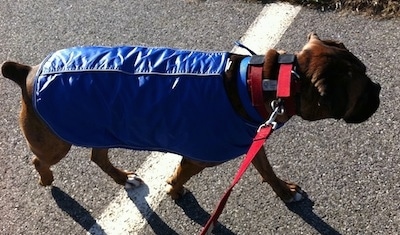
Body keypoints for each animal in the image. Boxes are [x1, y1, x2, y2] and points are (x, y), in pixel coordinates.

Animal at [1, 33, 380, 204]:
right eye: (362, 92)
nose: (379, 89)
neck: (272, 80)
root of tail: (29, 71)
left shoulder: (254, 141)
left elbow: (267, 171)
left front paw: (284, 192)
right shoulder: (200, 156)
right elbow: (182, 173)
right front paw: (175, 190)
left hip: (100, 128)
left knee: (98, 156)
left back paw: (123, 178)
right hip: (56, 142)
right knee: (39, 159)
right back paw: (46, 179)